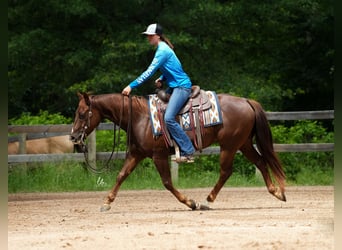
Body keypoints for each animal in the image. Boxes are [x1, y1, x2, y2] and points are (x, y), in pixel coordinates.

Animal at [70, 92, 286, 211]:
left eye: (81, 113)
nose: (73, 137)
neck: (140, 117)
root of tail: (247, 101)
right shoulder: (136, 154)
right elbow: (121, 175)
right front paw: (106, 202)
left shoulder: (158, 156)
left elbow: (167, 182)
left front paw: (190, 202)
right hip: (243, 144)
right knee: (260, 161)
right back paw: (277, 192)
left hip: (229, 146)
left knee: (226, 171)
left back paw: (207, 201)